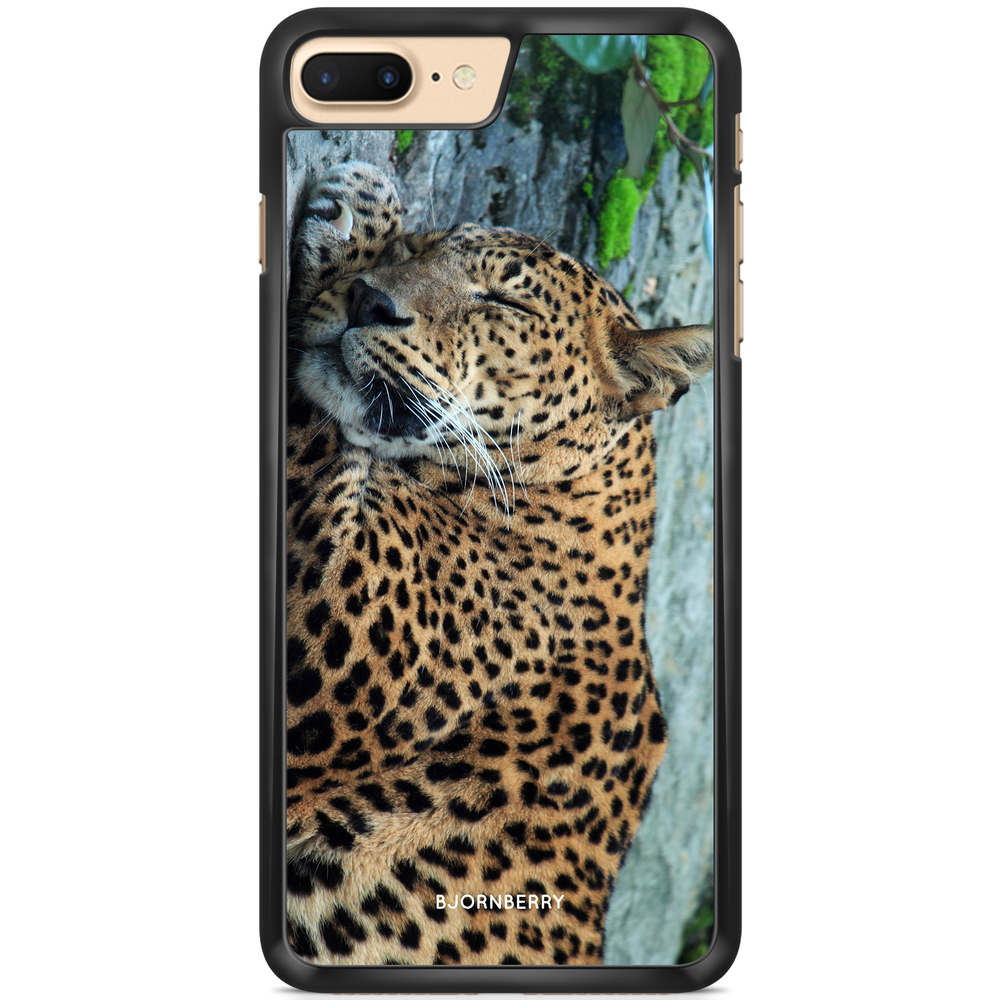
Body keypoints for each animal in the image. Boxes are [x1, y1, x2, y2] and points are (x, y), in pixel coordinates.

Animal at [284, 162, 713, 966]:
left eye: (504, 301)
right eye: (425, 247)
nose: (369, 300)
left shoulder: (340, 618)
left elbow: (315, 428)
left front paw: (357, 208)